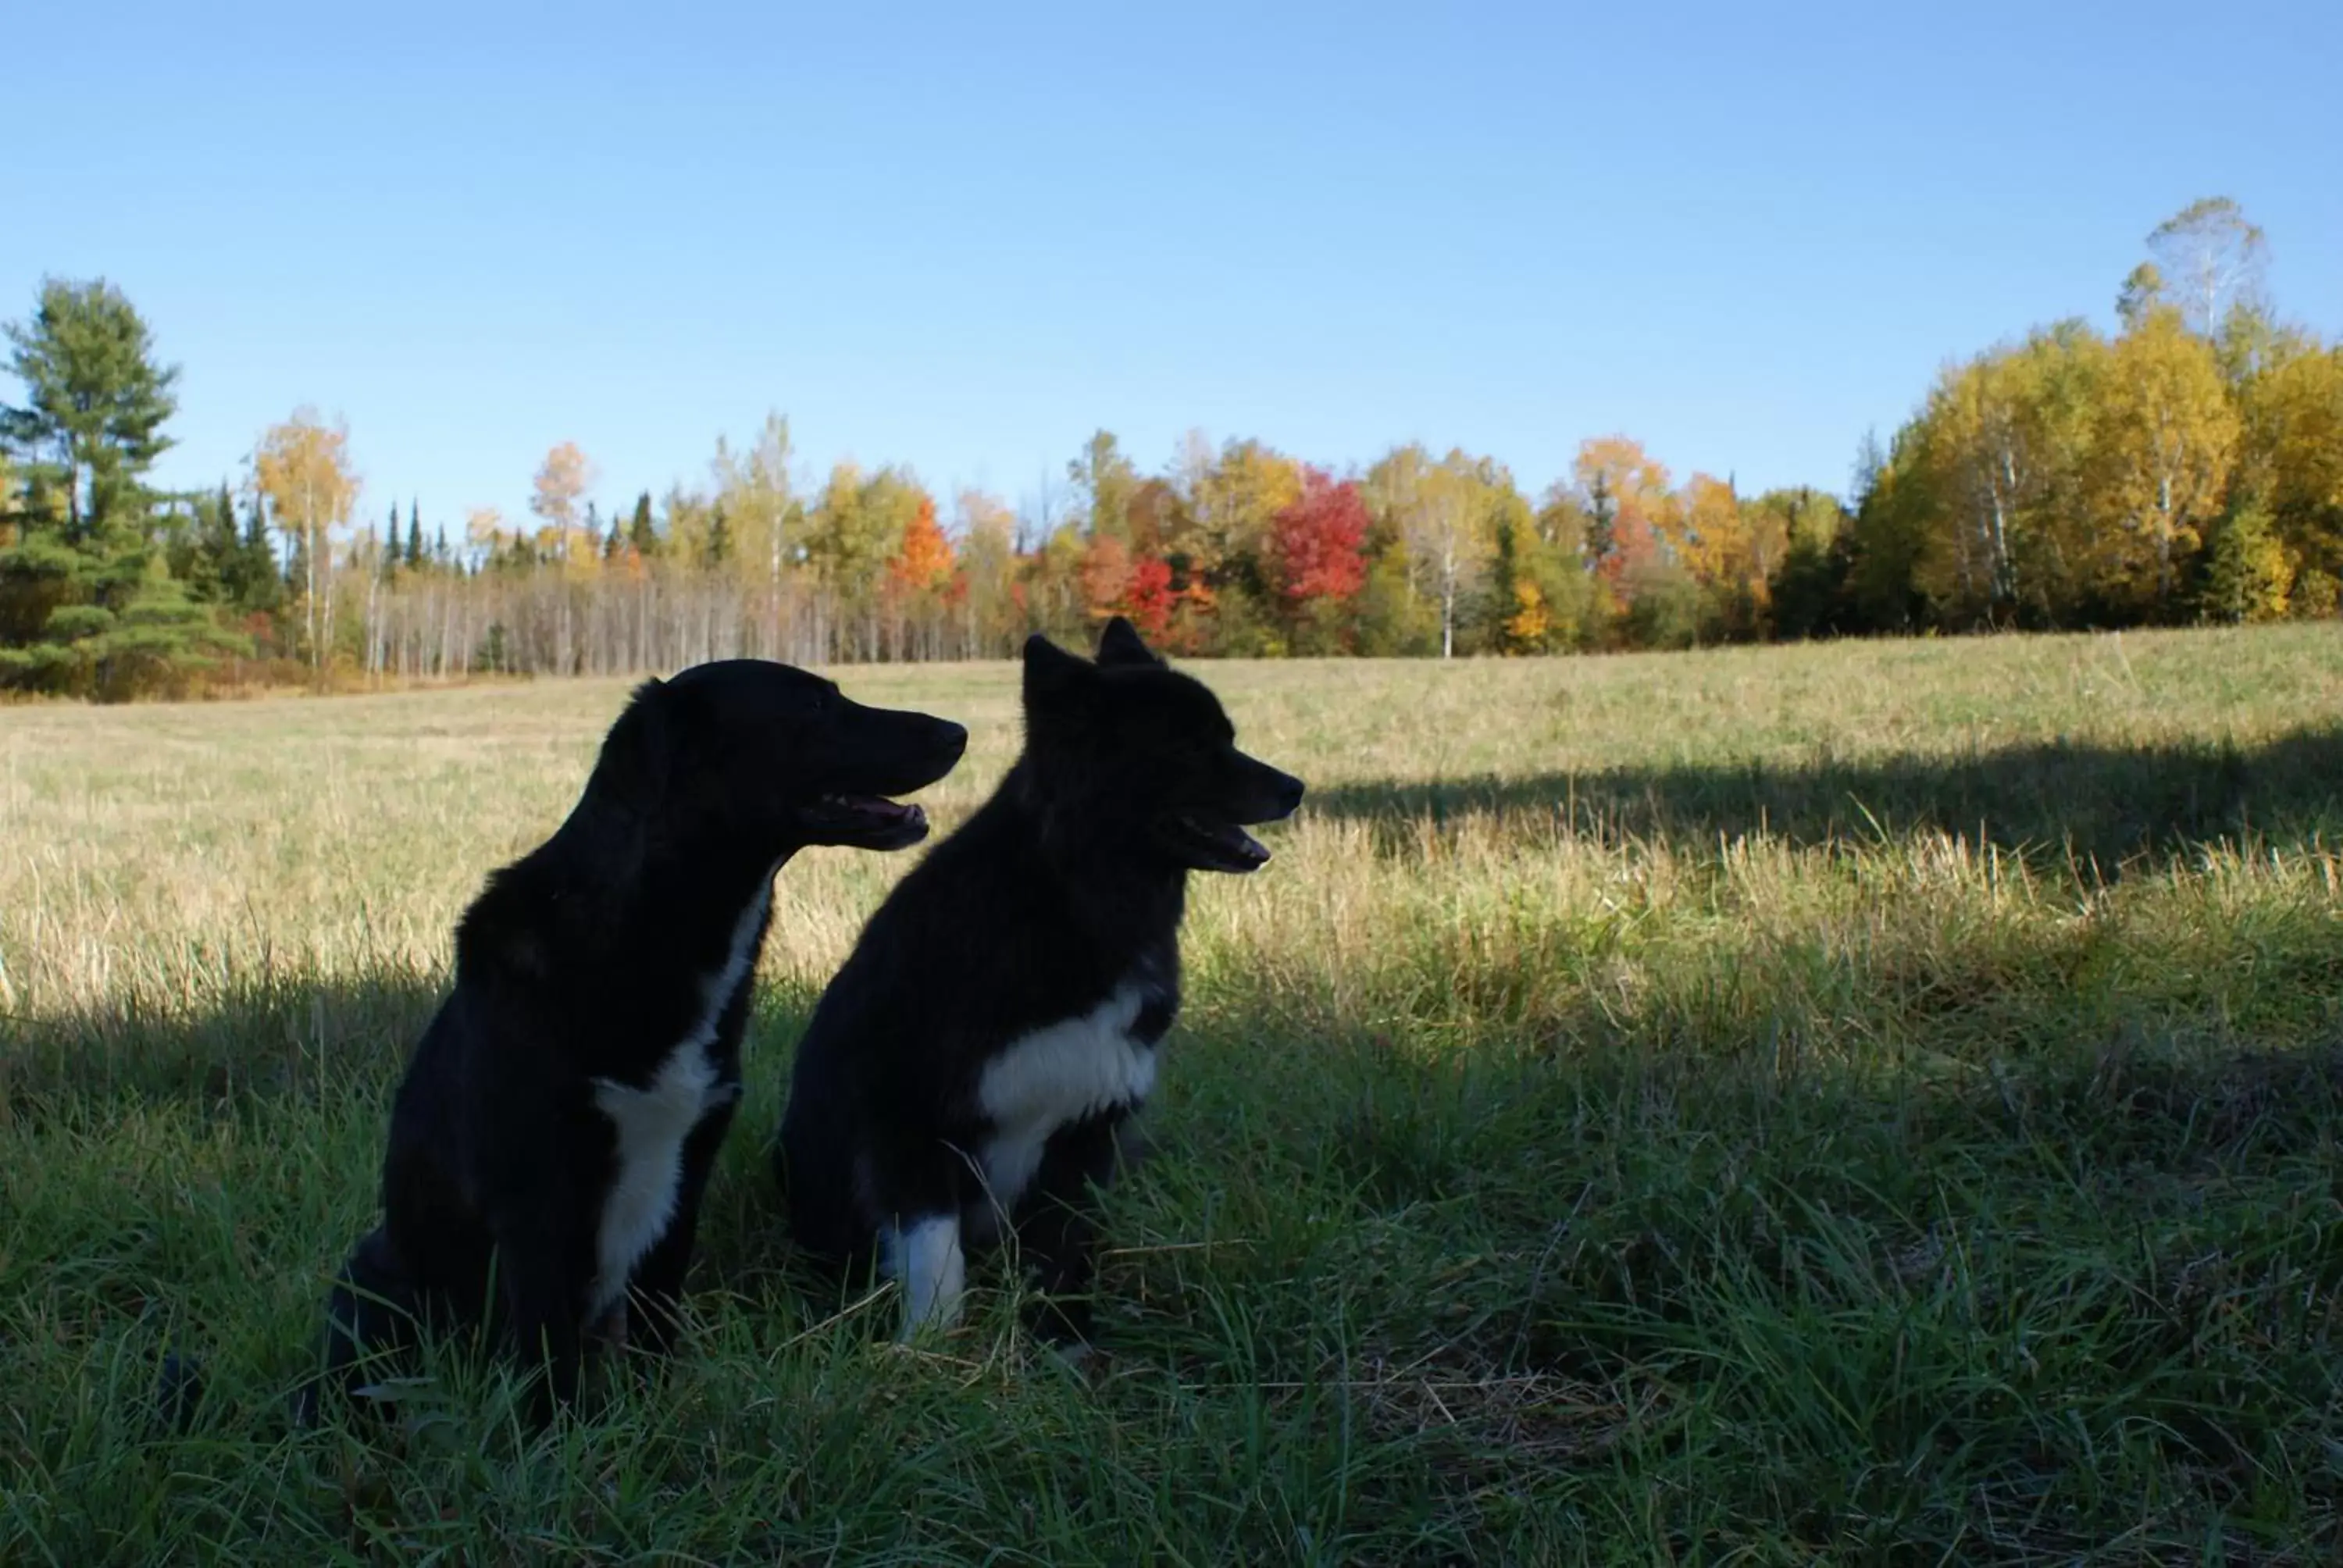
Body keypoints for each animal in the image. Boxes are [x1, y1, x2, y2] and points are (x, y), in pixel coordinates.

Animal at [295, 661, 970, 1415]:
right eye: (815, 705)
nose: (959, 731)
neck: (653, 925)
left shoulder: (683, 1178)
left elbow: (655, 1333)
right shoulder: (535, 1196)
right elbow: (546, 1355)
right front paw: (552, 1435)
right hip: (377, 1281)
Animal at [783, 609, 1303, 1349]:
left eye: (1226, 737)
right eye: (1188, 746)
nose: (1295, 789)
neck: (1071, 901)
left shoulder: (1087, 1127)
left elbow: (1061, 1251)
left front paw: (1063, 1342)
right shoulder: (904, 1113)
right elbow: (934, 1253)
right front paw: (930, 1351)